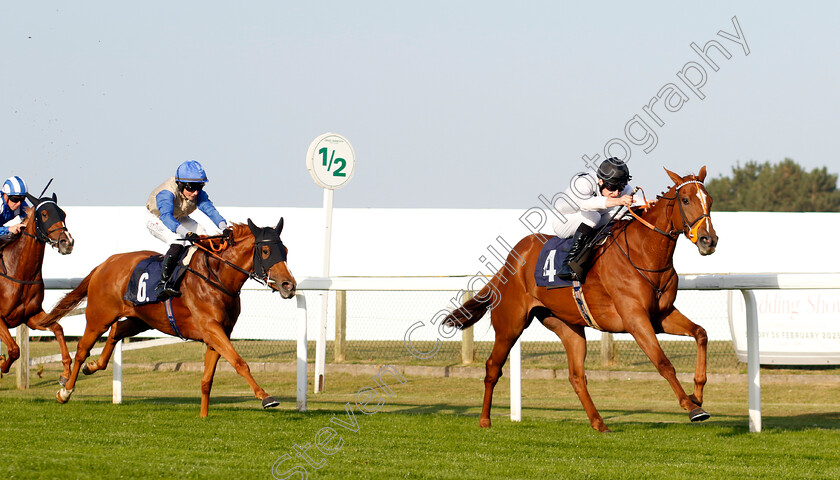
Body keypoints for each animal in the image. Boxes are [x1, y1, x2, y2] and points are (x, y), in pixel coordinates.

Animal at [0, 193, 74, 384]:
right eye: (45, 214)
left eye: (63, 214)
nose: (67, 242)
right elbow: (14, 349)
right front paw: (2, 367)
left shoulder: (31, 317)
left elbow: (58, 328)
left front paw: (65, 373)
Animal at [45, 218, 298, 416]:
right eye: (266, 251)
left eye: (285, 251)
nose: (289, 285)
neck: (217, 277)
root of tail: (105, 263)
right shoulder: (211, 328)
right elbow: (239, 362)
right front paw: (265, 397)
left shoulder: (219, 333)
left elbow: (207, 379)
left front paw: (203, 416)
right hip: (99, 317)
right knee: (82, 349)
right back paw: (65, 390)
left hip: (141, 318)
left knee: (117, 331)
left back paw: (93, 367)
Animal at [442, 167, 720, 434]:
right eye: (685, 200)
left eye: (710, 200)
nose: (709, 240)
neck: (644, 253)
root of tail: (511, 260)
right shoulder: (635, 318)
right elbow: (663, 363)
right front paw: (692, 407)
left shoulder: (660, 316)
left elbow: (701, 333)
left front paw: (697, 394)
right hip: (510, 324)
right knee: (492, 367)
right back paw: (484, 420)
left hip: (567, 326)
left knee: (577, 376)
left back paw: (599, 423)